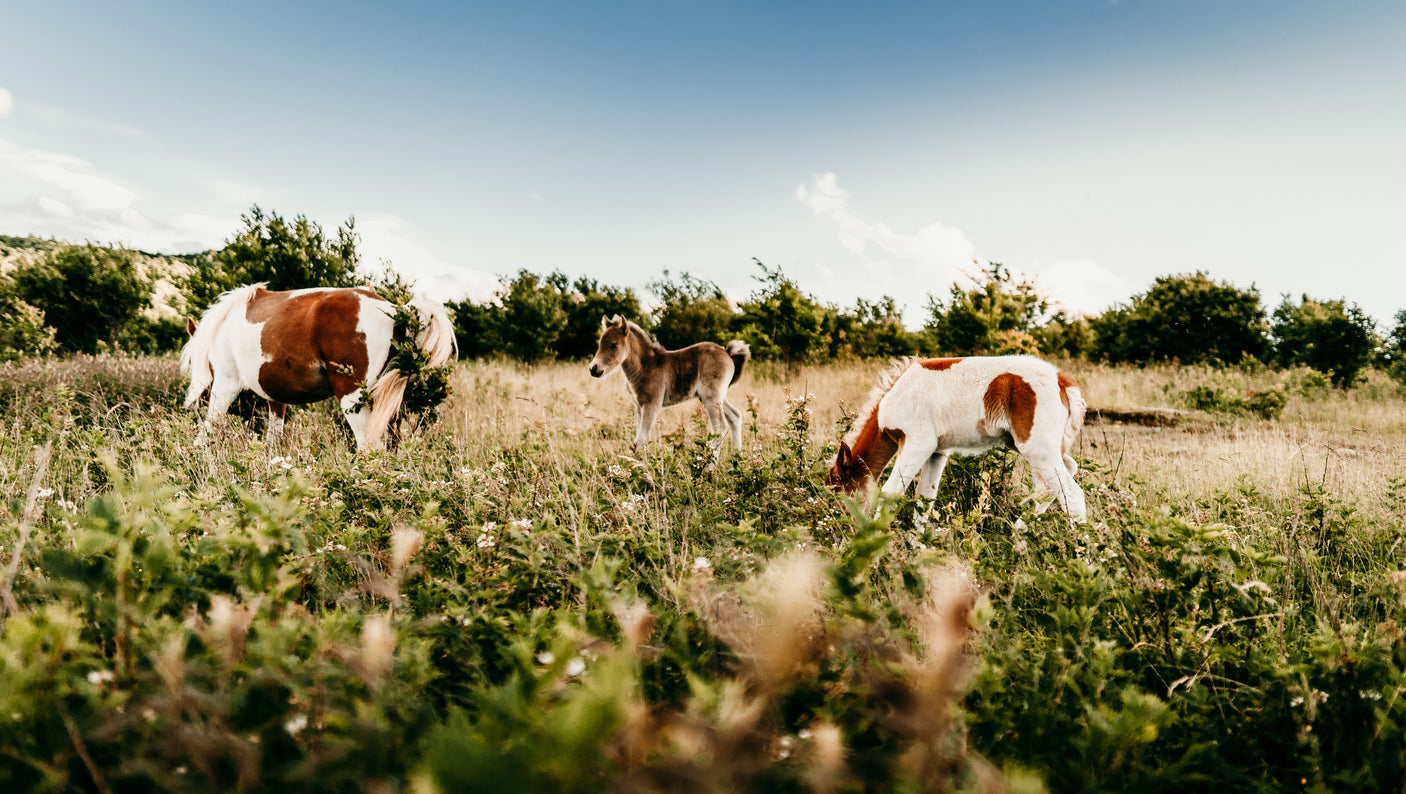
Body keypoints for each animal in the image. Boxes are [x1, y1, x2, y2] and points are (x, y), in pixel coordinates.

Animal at [179, 283, 456, 451]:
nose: (193, 403)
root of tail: (396, 311)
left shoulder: (225, 386)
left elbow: (208, 428)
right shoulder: (275, 398)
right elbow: (273, 437)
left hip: (353, 399)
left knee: (368, 447)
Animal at [588, 315, 751, 451]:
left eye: (614, 345)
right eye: (600, 344)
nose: (593, 368)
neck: (644, 366)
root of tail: (727, 353)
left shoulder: (652, 405)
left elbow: (642, 439)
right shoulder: (639, 406)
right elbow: (638, 439)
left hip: (711, 397)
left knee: (720, 429)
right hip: (717, 397)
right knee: (735, 416)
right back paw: (736, 460)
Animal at [825, 355, 1087, 522]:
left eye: (838, 492)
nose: (834, 527)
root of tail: (1063, 383)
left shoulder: (916, 444)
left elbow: (891, 493)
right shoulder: (936, 452)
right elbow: (925, 499)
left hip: (1037, 449)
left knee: (1072, 496)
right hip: (1037, 449)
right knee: (1055, 482)